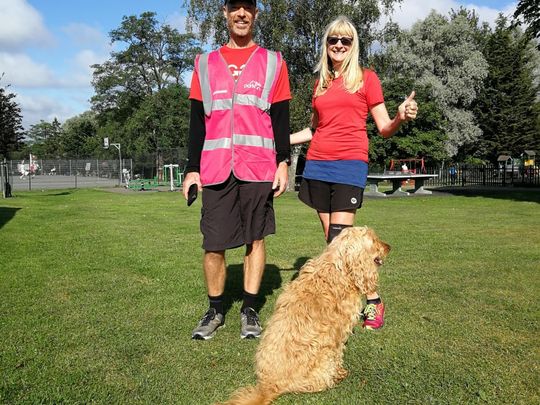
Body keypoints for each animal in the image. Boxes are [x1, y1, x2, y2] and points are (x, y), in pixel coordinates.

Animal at [217, 226, 390, 402]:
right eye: (374, 240)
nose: (389, 247)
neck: (338, 268)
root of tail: (270, 385)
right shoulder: (340, 332)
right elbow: (339, 353)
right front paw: (340, 370)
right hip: (324, 357)